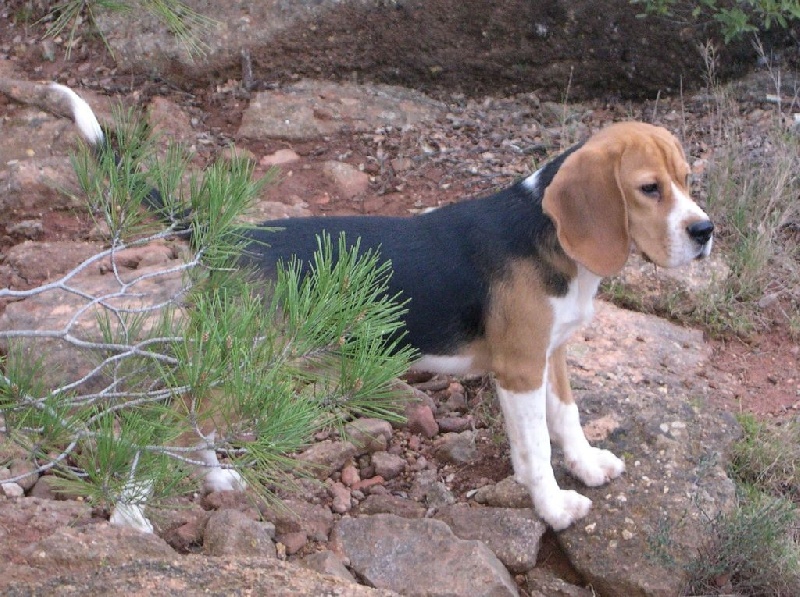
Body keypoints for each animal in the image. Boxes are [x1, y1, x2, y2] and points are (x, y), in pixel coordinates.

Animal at [53, 84, 712, 532]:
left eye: (686, 178)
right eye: (649, 188)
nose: (706, 231)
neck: (545, 230)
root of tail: (225, 236)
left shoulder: (551, 356)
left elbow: (567, 419)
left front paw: (589, 465)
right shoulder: (519, 369)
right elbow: (535, 449)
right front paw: (553, 507)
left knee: (193, 422)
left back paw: (213, 478)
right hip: (247, 360)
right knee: (168, 422)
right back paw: (131, 514)